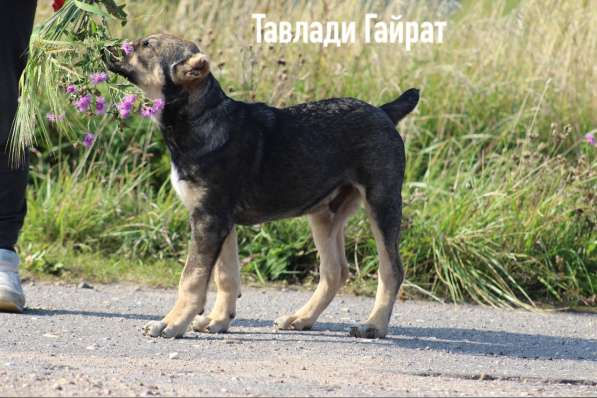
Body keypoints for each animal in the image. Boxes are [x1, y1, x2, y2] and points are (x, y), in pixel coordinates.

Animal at [103, 33, 420, 338]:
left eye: (146, 45)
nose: (106, 47)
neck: (202, 117)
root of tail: (384, 112)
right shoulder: (221, 221)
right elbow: (226, 276)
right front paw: (218, 321)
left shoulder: (209, 219)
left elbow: (192, 278)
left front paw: (171, 323)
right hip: (324, 214)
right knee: (335, 272)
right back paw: (301, 319)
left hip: (382, 202)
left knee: (391, 269)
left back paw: (374, 325)